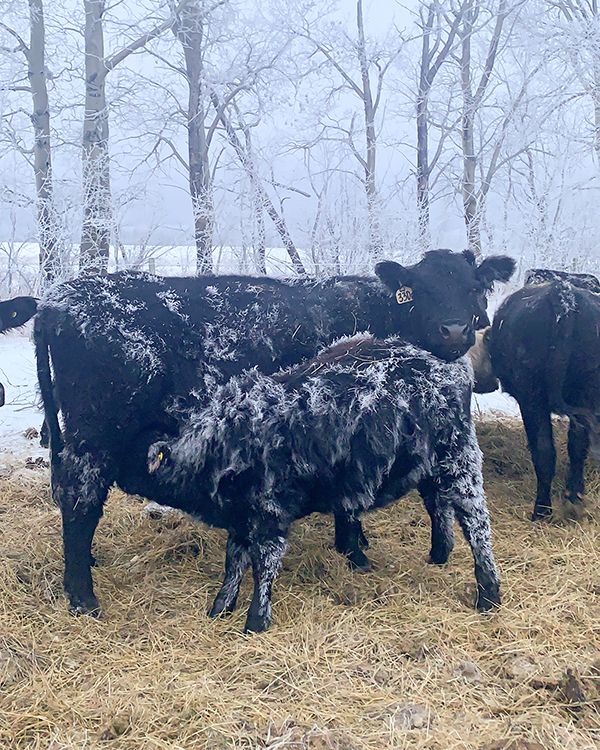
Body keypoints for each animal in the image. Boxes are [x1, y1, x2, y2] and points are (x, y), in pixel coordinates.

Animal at [137, 334, 499, 632]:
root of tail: (449, 363)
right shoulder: (242, 519)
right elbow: (233, 562)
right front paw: (220, 607)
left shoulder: (271, 514)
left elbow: (263, 566)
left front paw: (255, 621)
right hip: (429, 466)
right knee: (438, 504)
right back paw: (439, 554)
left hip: (459, 457)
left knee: (476, 523)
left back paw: (489, 594)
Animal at [489, 269, 600, 520]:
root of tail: (563, 297)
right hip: (584, 393)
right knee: (577, 446)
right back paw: (573, 500)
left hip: (532, 397)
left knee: (544, 451)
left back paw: (542, 510)